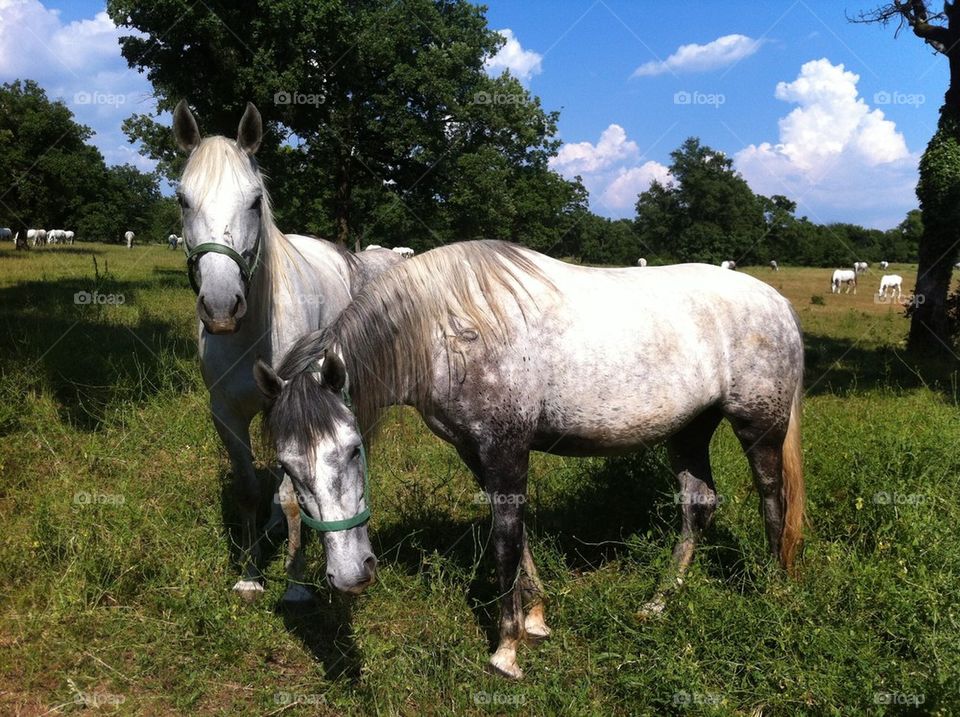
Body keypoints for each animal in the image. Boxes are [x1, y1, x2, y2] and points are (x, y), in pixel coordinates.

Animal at [172, 100, 402, 600]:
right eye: (183, 200)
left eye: (255, 201)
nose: (221, 306)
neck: (250, 333)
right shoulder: (226, 413)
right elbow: (250, 489)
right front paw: (250, 574)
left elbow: (291, 494)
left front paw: (295, 583)